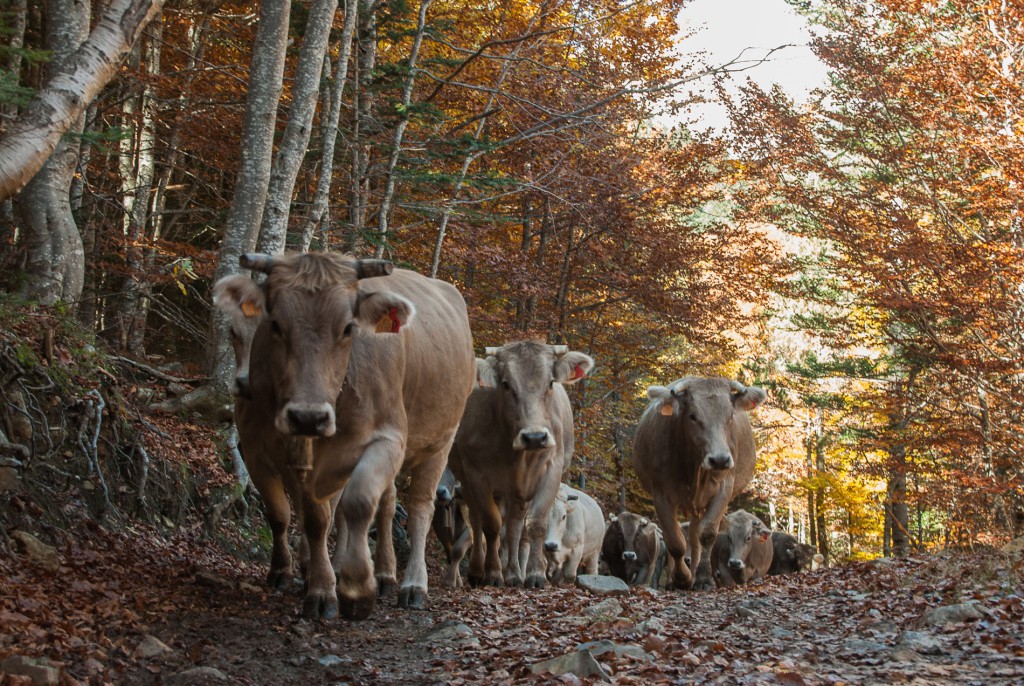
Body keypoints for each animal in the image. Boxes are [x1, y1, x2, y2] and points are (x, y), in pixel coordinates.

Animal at [215, 253, 475, 622]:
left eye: (348, 327)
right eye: (275, 324)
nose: (308, 415)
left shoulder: (388, 439)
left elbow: (358, 504)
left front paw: (356, 587)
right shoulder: (271, 450)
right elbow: (306, 517)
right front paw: (319, 587)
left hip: (441, 441)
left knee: (419, 509)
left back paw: (412, 584)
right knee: (385, 503)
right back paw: (378, 572)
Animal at [452, 341, 598, 589]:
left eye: (551, 383)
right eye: (505, 384)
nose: (535, 437)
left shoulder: (551, 470)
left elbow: (535, 524)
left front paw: (535, 574)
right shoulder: (476, 474)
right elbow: (490, 524)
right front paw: (493, 573)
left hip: (517, 493)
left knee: (514, 528)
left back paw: (513, 573)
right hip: (469, 482)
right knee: (477, 522)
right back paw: (478, 571)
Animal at [630, 376, 770, 589]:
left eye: (730, 416)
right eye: (693, 416)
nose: (720, 459)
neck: (695, 468)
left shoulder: (724, 488)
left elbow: (707, 534)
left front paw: (703, 578)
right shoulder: (660, 493)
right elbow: (675, 541)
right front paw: (682, 578)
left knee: (696, 535)